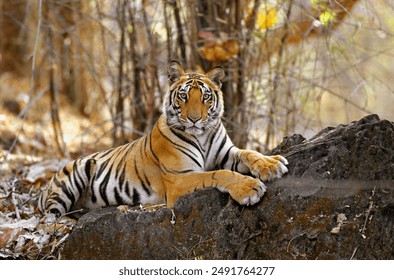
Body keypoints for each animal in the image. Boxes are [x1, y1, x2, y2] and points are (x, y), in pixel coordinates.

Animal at [38, 60, 288, 215]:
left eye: (206, 97)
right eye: (184, 96)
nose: (195, 119)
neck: (202, 136)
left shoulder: (227, 153)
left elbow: (249, 152)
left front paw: (272, 164)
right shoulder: (179, 178)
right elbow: (219, 174)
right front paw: (250, 189)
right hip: (76, 174)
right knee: (50, 219)